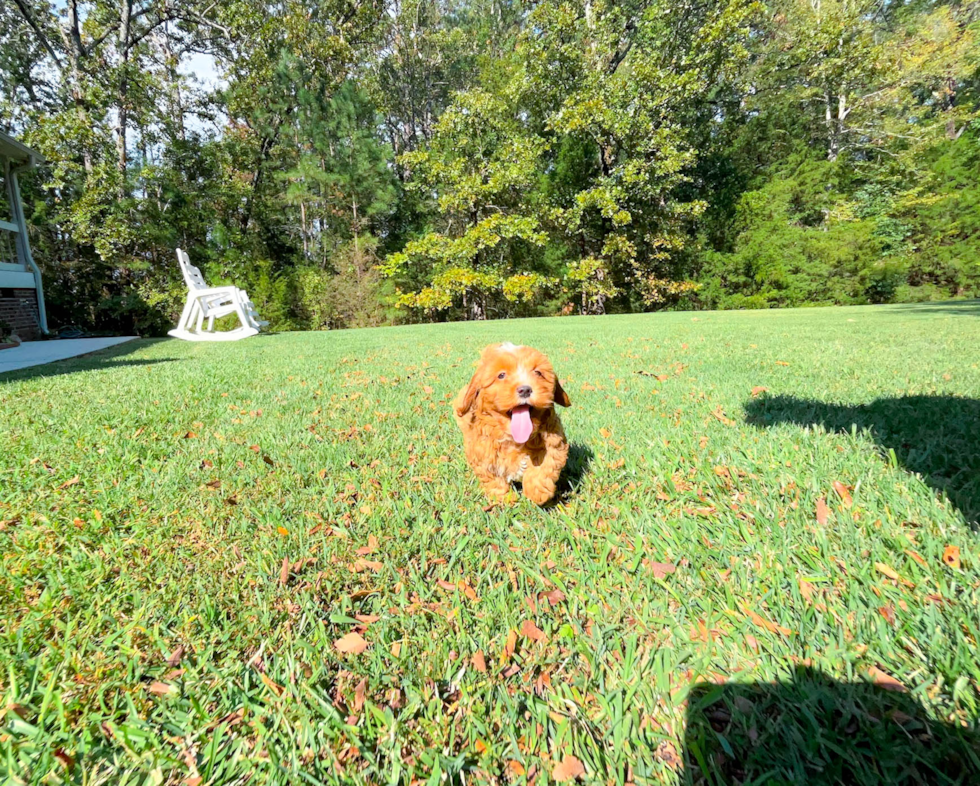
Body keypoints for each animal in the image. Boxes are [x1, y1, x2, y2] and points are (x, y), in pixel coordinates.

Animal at [454, 342, 572, 502]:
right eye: (501, 375)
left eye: (538, 373)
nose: (525, 389)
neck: (514, 438)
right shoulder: (482, 452)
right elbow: (492, 478)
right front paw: (505, 499)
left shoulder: (554, 442)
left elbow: (545, 465)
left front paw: (537, 492)